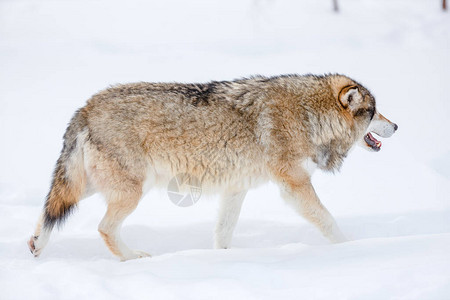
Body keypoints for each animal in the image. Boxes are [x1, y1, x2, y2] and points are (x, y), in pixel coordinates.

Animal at [27, 73, 398, 260]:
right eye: (374, 111)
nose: (396, 126)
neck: (309, 115)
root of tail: (85, 107)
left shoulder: (236, 189)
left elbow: (223, 233)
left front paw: (220, 264)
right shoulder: (293, 186)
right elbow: (329, 221)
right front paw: (352, 248)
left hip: (93, 186)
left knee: (50, 209)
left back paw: (36, 245)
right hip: (132, 191)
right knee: (104, 228)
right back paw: (133, 258)